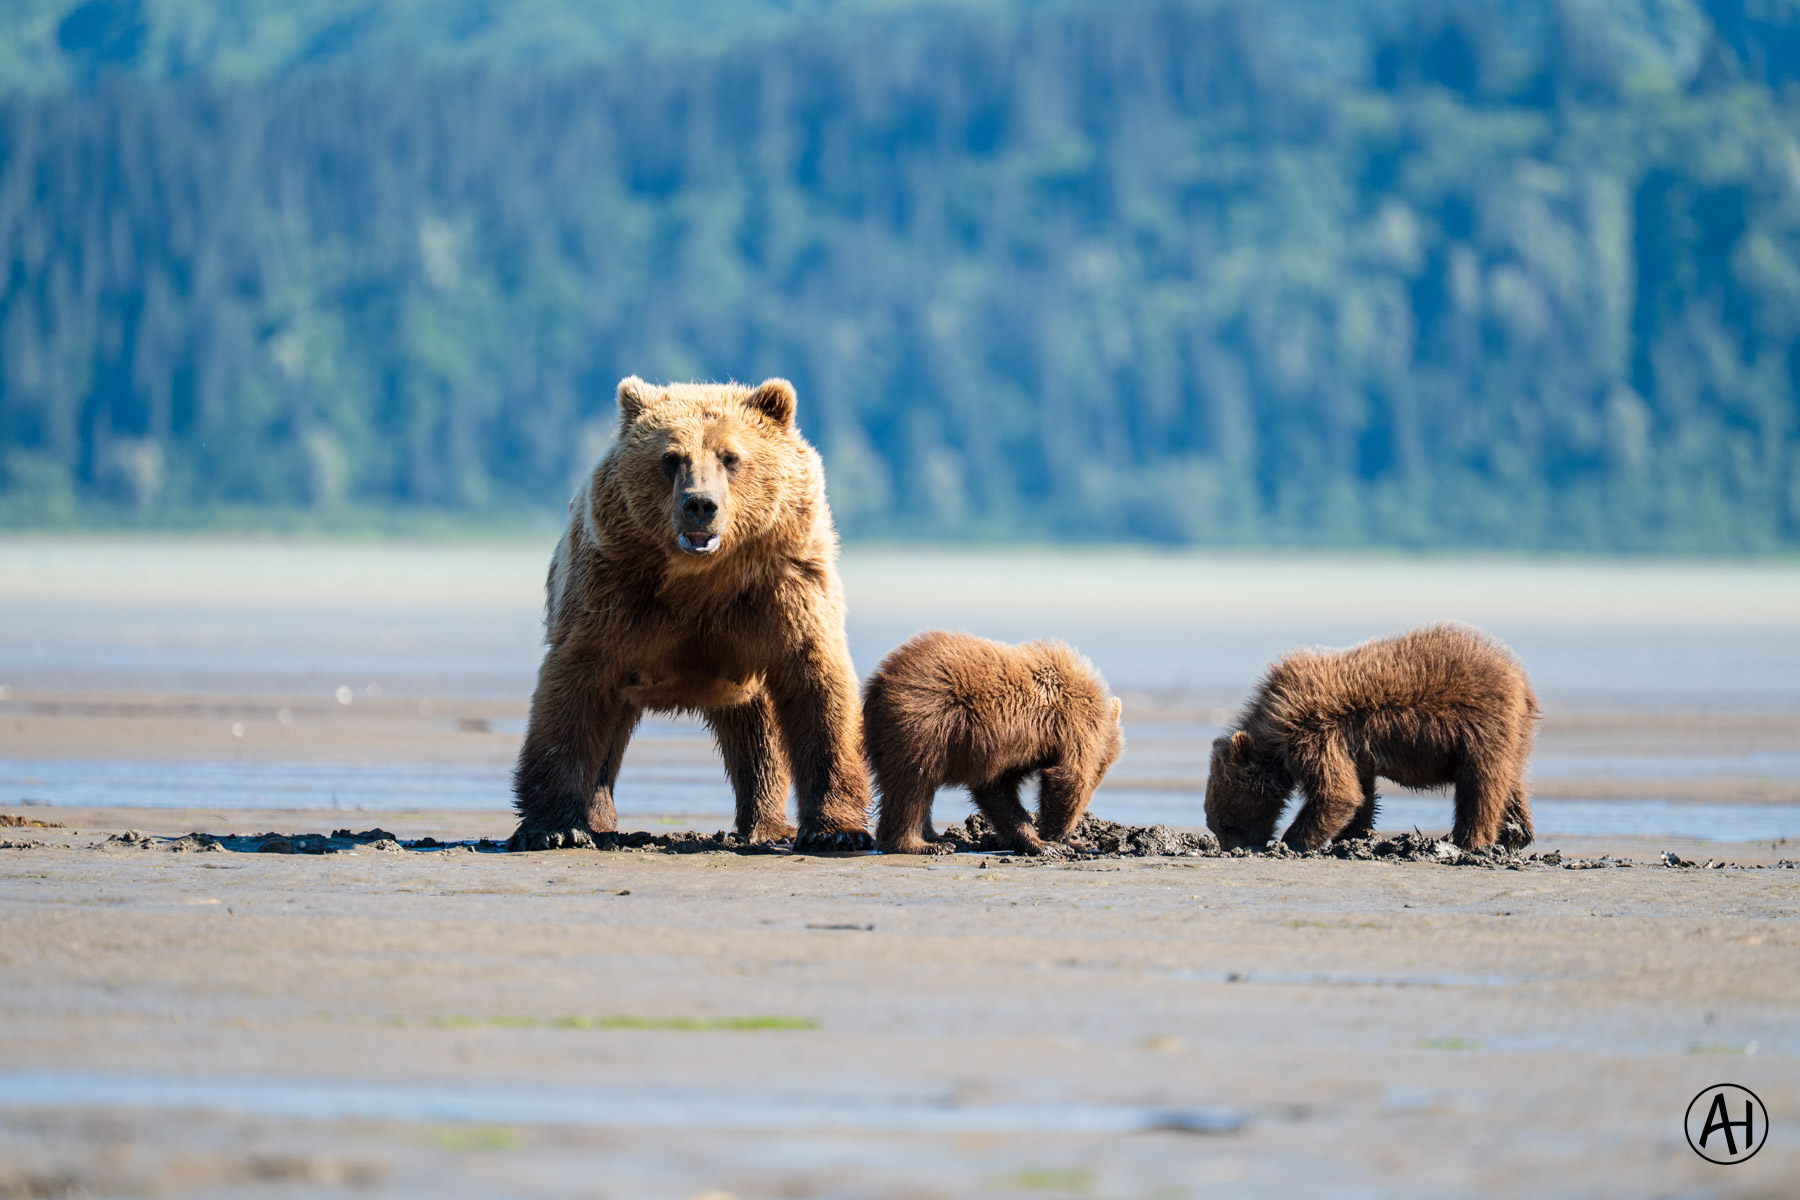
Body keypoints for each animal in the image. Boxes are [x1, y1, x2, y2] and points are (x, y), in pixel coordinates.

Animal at [508, 376, 873, 853]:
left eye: (731, 457)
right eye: (671, 457)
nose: (700, 504)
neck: (701, 580)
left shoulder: (784, 592)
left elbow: (819, 690)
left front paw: (837, 831)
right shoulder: (612, 593)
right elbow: (573, 692)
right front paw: (554, 828)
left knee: (759, 739)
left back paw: (765, 825)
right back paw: (600, 821)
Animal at [863, 631, 1125, 856]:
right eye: (1102, 768)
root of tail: (877, 683)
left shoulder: (1008, 754)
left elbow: (997, 791)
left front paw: (1035, 840)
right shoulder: (1071, 725)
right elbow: (1069, 778)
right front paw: (1062, 840)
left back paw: (937, 837)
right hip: (924, 720)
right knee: (913, 783)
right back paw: (921, 844)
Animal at [1205, 622, 1538, 853]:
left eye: (1226, 822)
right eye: (1216, 824)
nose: (1231, 848)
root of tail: (1521, 678)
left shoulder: (1313, 735)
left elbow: (1336, 793)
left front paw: (1293, 841)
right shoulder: (1350, 751)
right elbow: (1359, 793)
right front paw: (1353, 835)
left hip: (1480, 726)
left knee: (1480, 785)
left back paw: (1469, 841)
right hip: (1513, 735)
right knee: (1510, 782)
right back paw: (1516, 833)